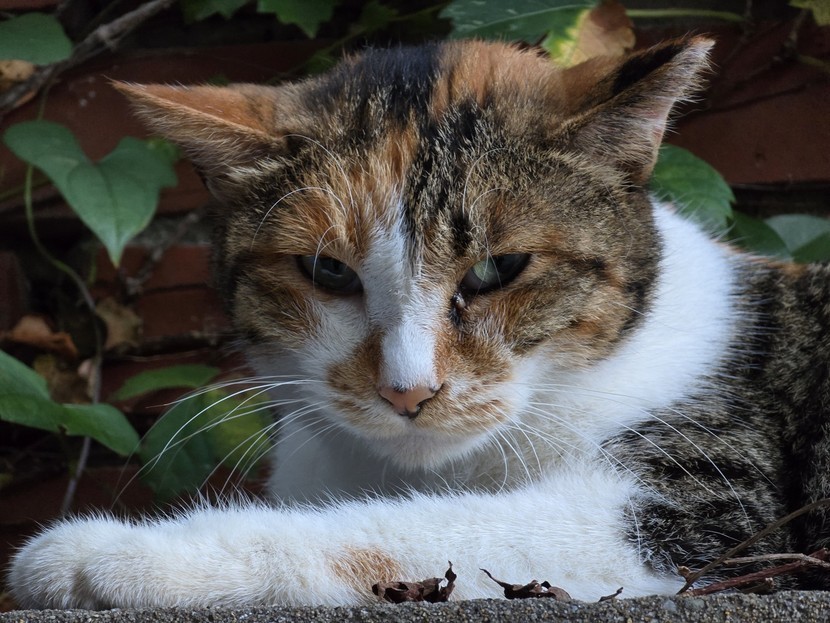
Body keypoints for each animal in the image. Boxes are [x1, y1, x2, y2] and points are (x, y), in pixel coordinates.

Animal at [8, 36, 830, 609]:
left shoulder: (702, 521)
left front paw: (109, 555)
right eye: (328, 272)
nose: (407, 390)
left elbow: (400, 526)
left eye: (499, 269)